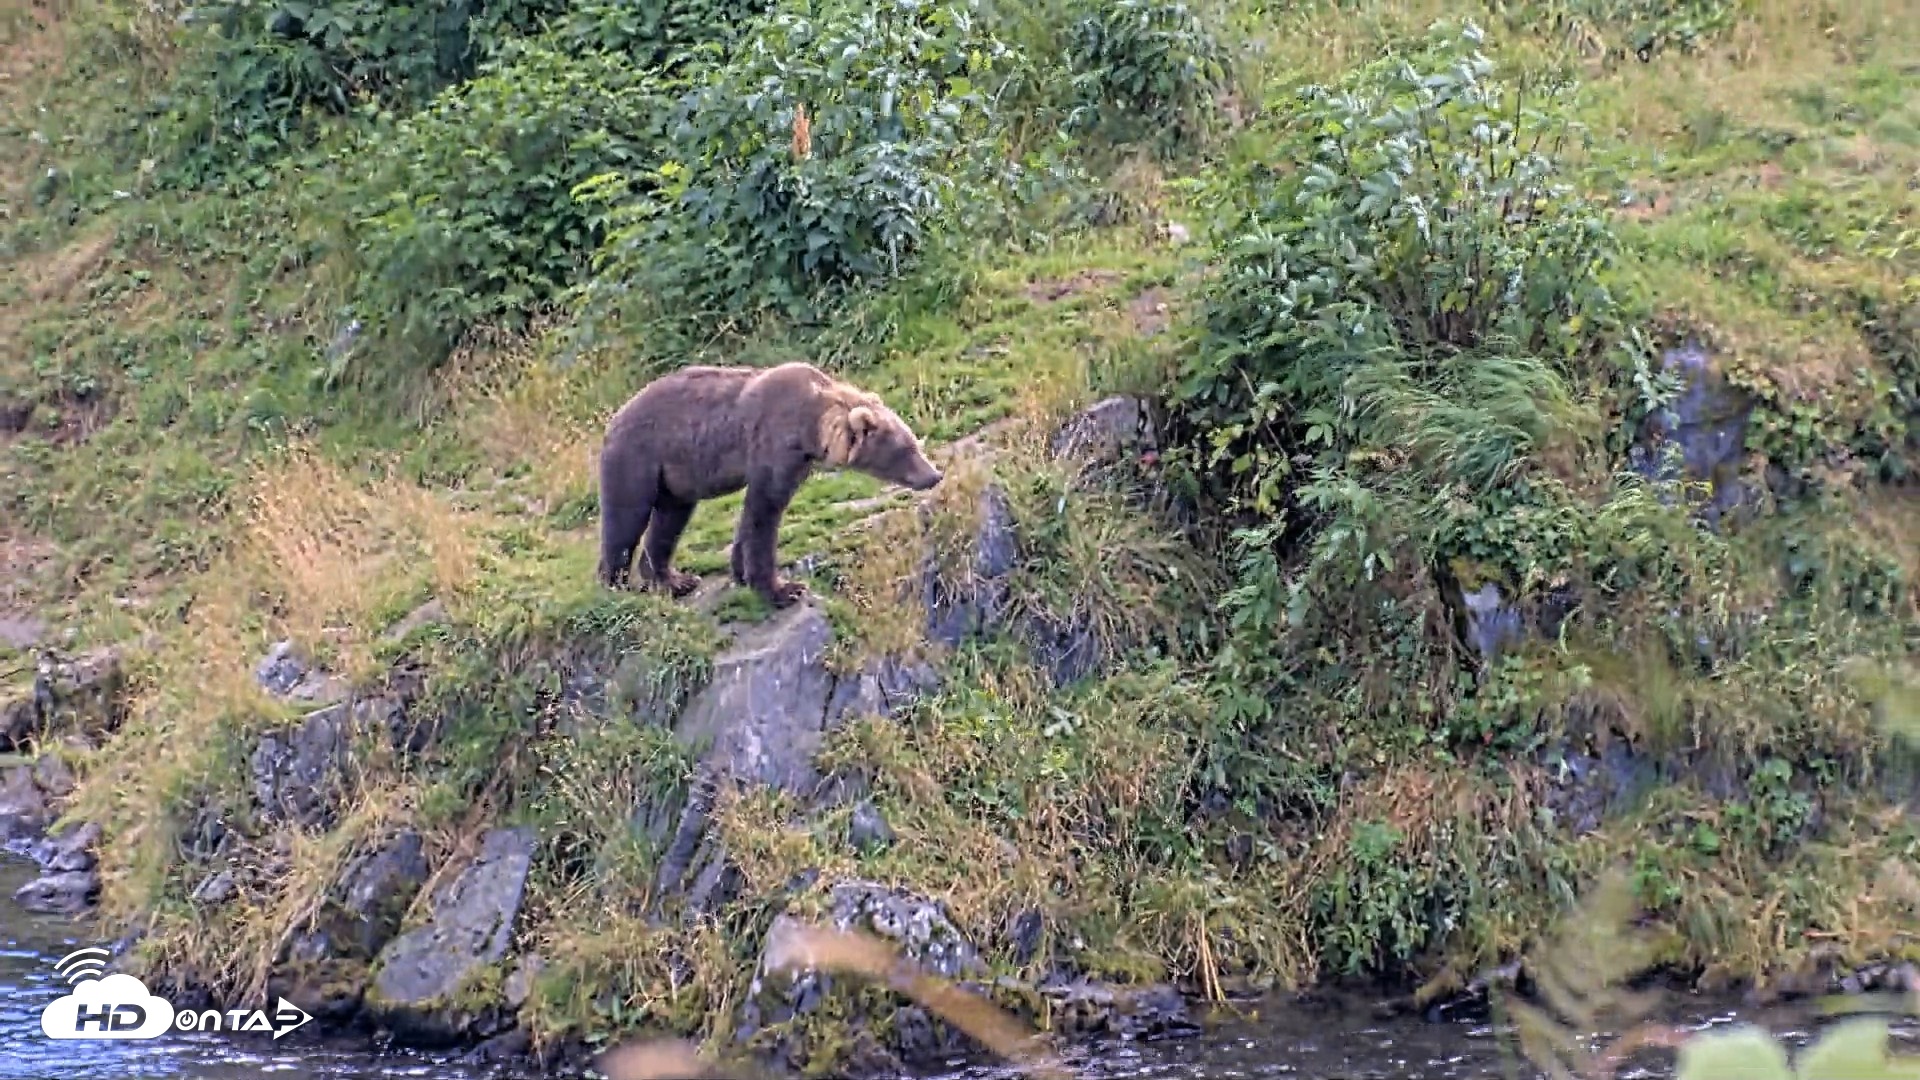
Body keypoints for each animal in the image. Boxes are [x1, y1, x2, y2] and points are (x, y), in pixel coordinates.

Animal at [597, 361, 945, 608]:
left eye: (913, 440)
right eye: (905, 449)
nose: (934, 475)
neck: (812, 426)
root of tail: (612, 420)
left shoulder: (798, 461)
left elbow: (752, 519)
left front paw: (740, 572)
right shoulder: (774, 445)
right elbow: (764, 512)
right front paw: (784, 589)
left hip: (677, 478)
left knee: (669, 520)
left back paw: (675, 581)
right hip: (639, 458)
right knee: (626, 518)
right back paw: (616, 586)